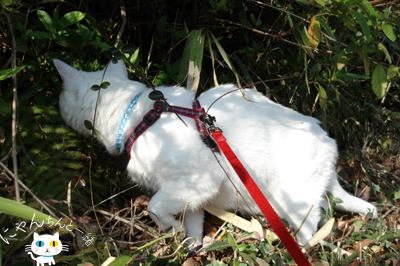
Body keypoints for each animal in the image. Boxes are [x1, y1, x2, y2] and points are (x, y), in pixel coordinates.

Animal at [54, 58, 378, 247]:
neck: (142, 116)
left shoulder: (198, 180)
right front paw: (189, 244)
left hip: (293, 202)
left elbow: (154, 207)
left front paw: (172, 228)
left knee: (311, 229)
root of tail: (329, 143)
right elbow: (192, 222)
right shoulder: (193, 194)